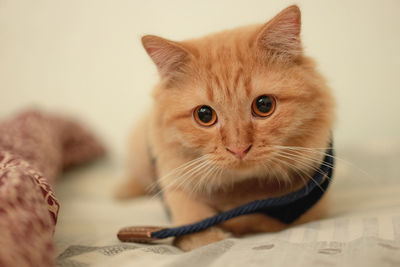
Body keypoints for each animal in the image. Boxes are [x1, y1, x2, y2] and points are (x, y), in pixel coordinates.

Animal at [115, 5, 334, 252]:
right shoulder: (175, 186)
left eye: (264, 105)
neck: (240, 192)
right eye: (204, 115)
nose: (239, 148)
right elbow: (192, 218)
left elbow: (255, 219)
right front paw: (206, 239)